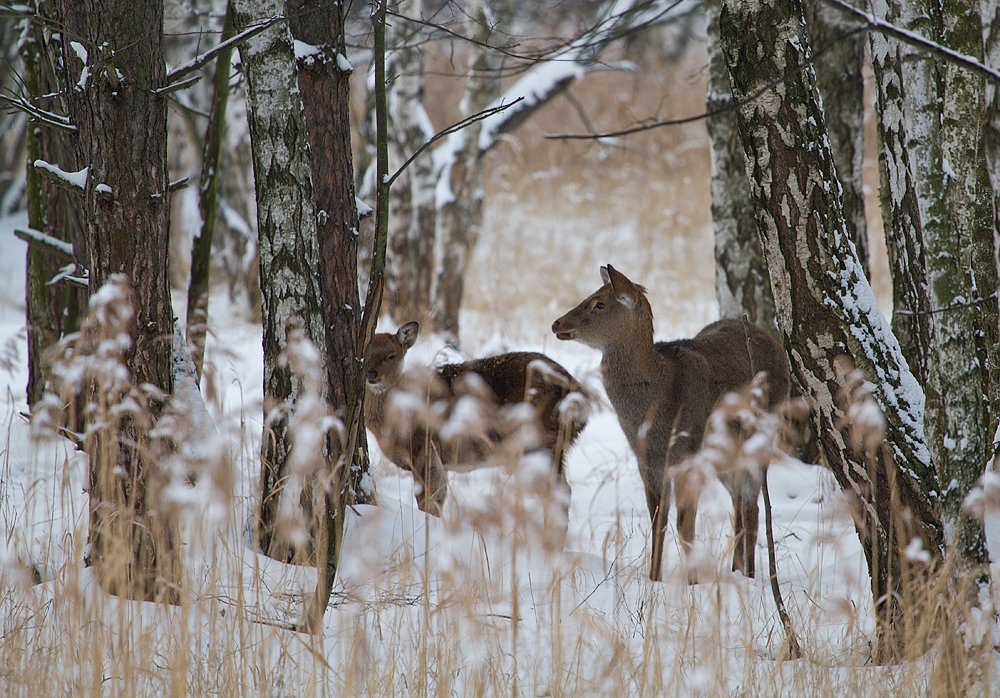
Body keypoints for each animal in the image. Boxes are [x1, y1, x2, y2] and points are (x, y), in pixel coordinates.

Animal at [366, 318, 584, 520]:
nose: (371, 374)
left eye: (391, 355)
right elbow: (439, 498)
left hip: (538, 441)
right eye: (367, 354)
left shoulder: (422, 449)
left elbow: (428, 501)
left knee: (559, 492)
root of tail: (576, 394)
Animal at [548, 264, 788, 580]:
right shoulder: (647, 461)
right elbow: (657, 522)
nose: (556, 324)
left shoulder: (689, 456)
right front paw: (654, 579)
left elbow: (685, 527)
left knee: (750, 506)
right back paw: (736, 570)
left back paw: (748, 574)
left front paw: (692, 582)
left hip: (760, 436)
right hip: (723, 456)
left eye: (599, 303)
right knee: (741, 503)